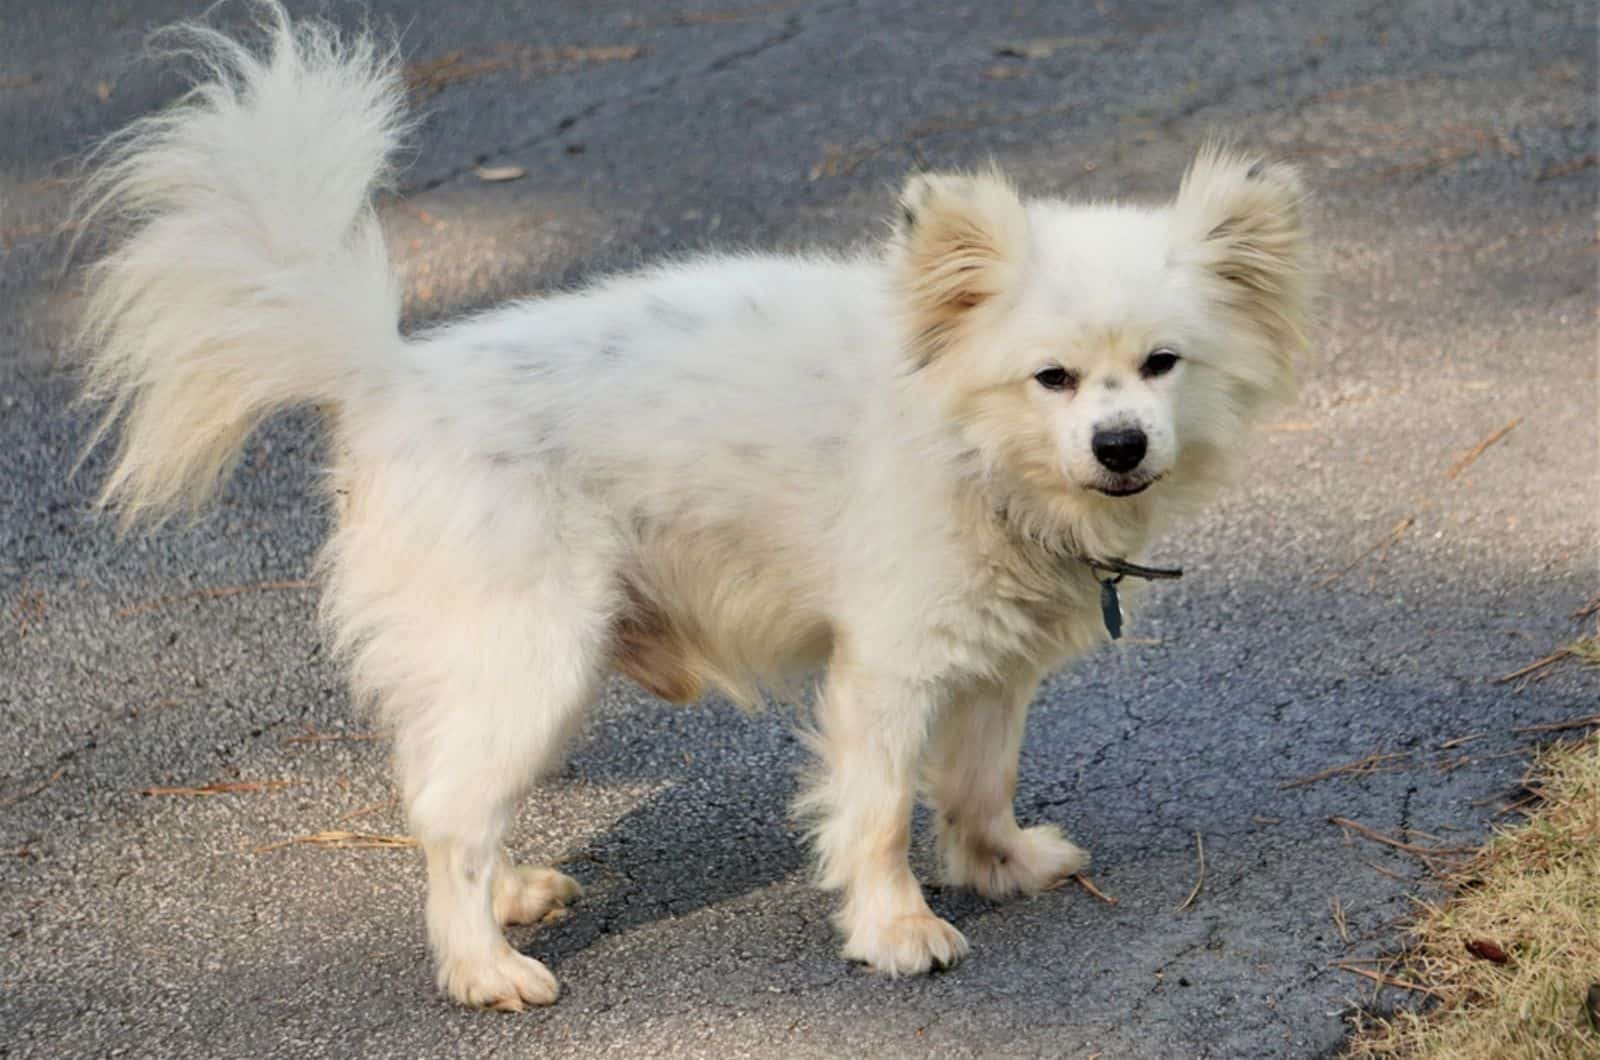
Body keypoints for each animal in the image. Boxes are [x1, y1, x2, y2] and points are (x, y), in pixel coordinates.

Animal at [75, 0, 1312, 1011]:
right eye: (1050, 378)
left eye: (1161, 365)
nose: (1119, 445)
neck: (967, 435)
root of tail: (390, 374)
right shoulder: (890, 669)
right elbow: (877, 809)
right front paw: (897, 928)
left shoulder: (990, 666)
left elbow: (976, 782)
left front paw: (1000, 865)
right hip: (535, 656)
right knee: (451, 814)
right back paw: (481, 967)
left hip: (492, 666)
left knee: (441, 785)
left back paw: (512, 894)